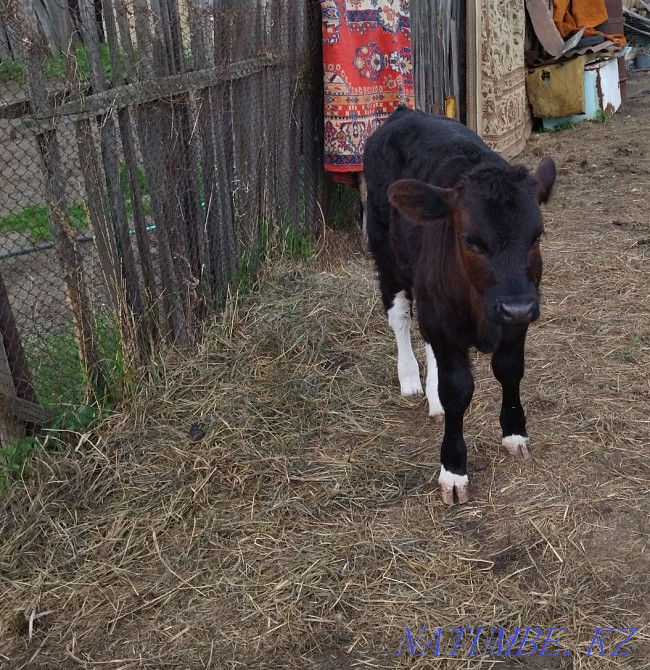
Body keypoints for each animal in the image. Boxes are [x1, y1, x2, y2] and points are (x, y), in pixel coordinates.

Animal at [363, 105, 556, 505]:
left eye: (536, 236)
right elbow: (457, 390)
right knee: (399, 316)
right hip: (386, 254)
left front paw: (515, 432)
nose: (516, 306)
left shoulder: (516, 318)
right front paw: (453, 469)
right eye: (470, 241)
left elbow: (509, 370)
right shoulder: (445, 320)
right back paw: (410, 379)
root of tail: (403, 112)